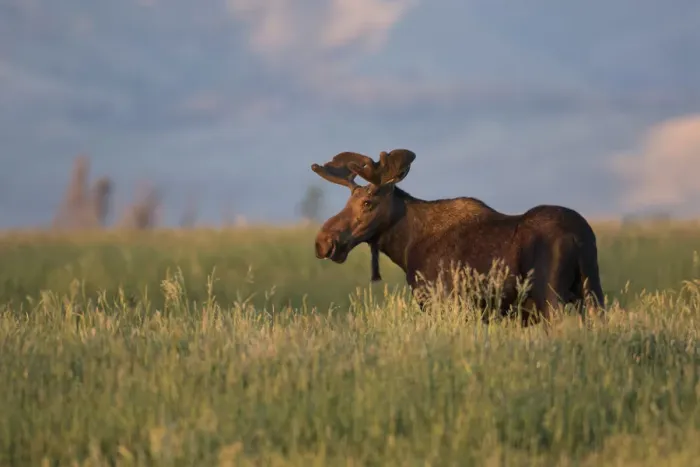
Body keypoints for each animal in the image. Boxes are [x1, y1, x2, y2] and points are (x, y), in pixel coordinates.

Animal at [311, 149, 605, 327]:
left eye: (368, 203)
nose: (323, 241)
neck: (404, 246)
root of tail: (580, 238)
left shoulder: (441, 301)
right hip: (592, 291)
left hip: (551, 298)